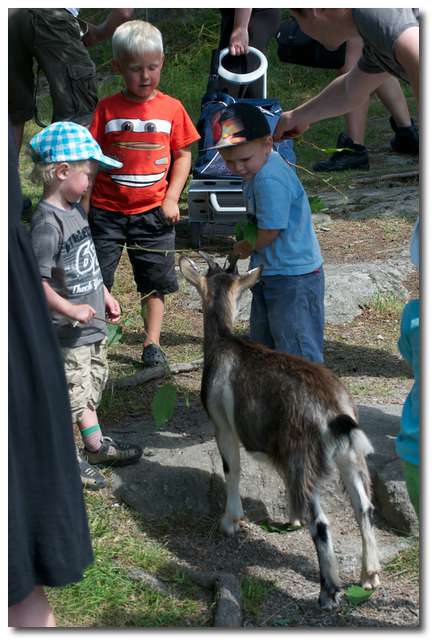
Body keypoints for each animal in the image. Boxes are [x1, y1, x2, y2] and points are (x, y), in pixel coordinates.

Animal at [178, 252, 378, 608]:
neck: (224, 341)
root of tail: (335, 411)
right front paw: (291, 518)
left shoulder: (223, 426)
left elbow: (232, 470)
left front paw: (231, 522)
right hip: (350, 457)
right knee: (364, 508)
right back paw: (369, 577)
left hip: (304, 455)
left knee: (322, 523)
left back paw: (329, 592)